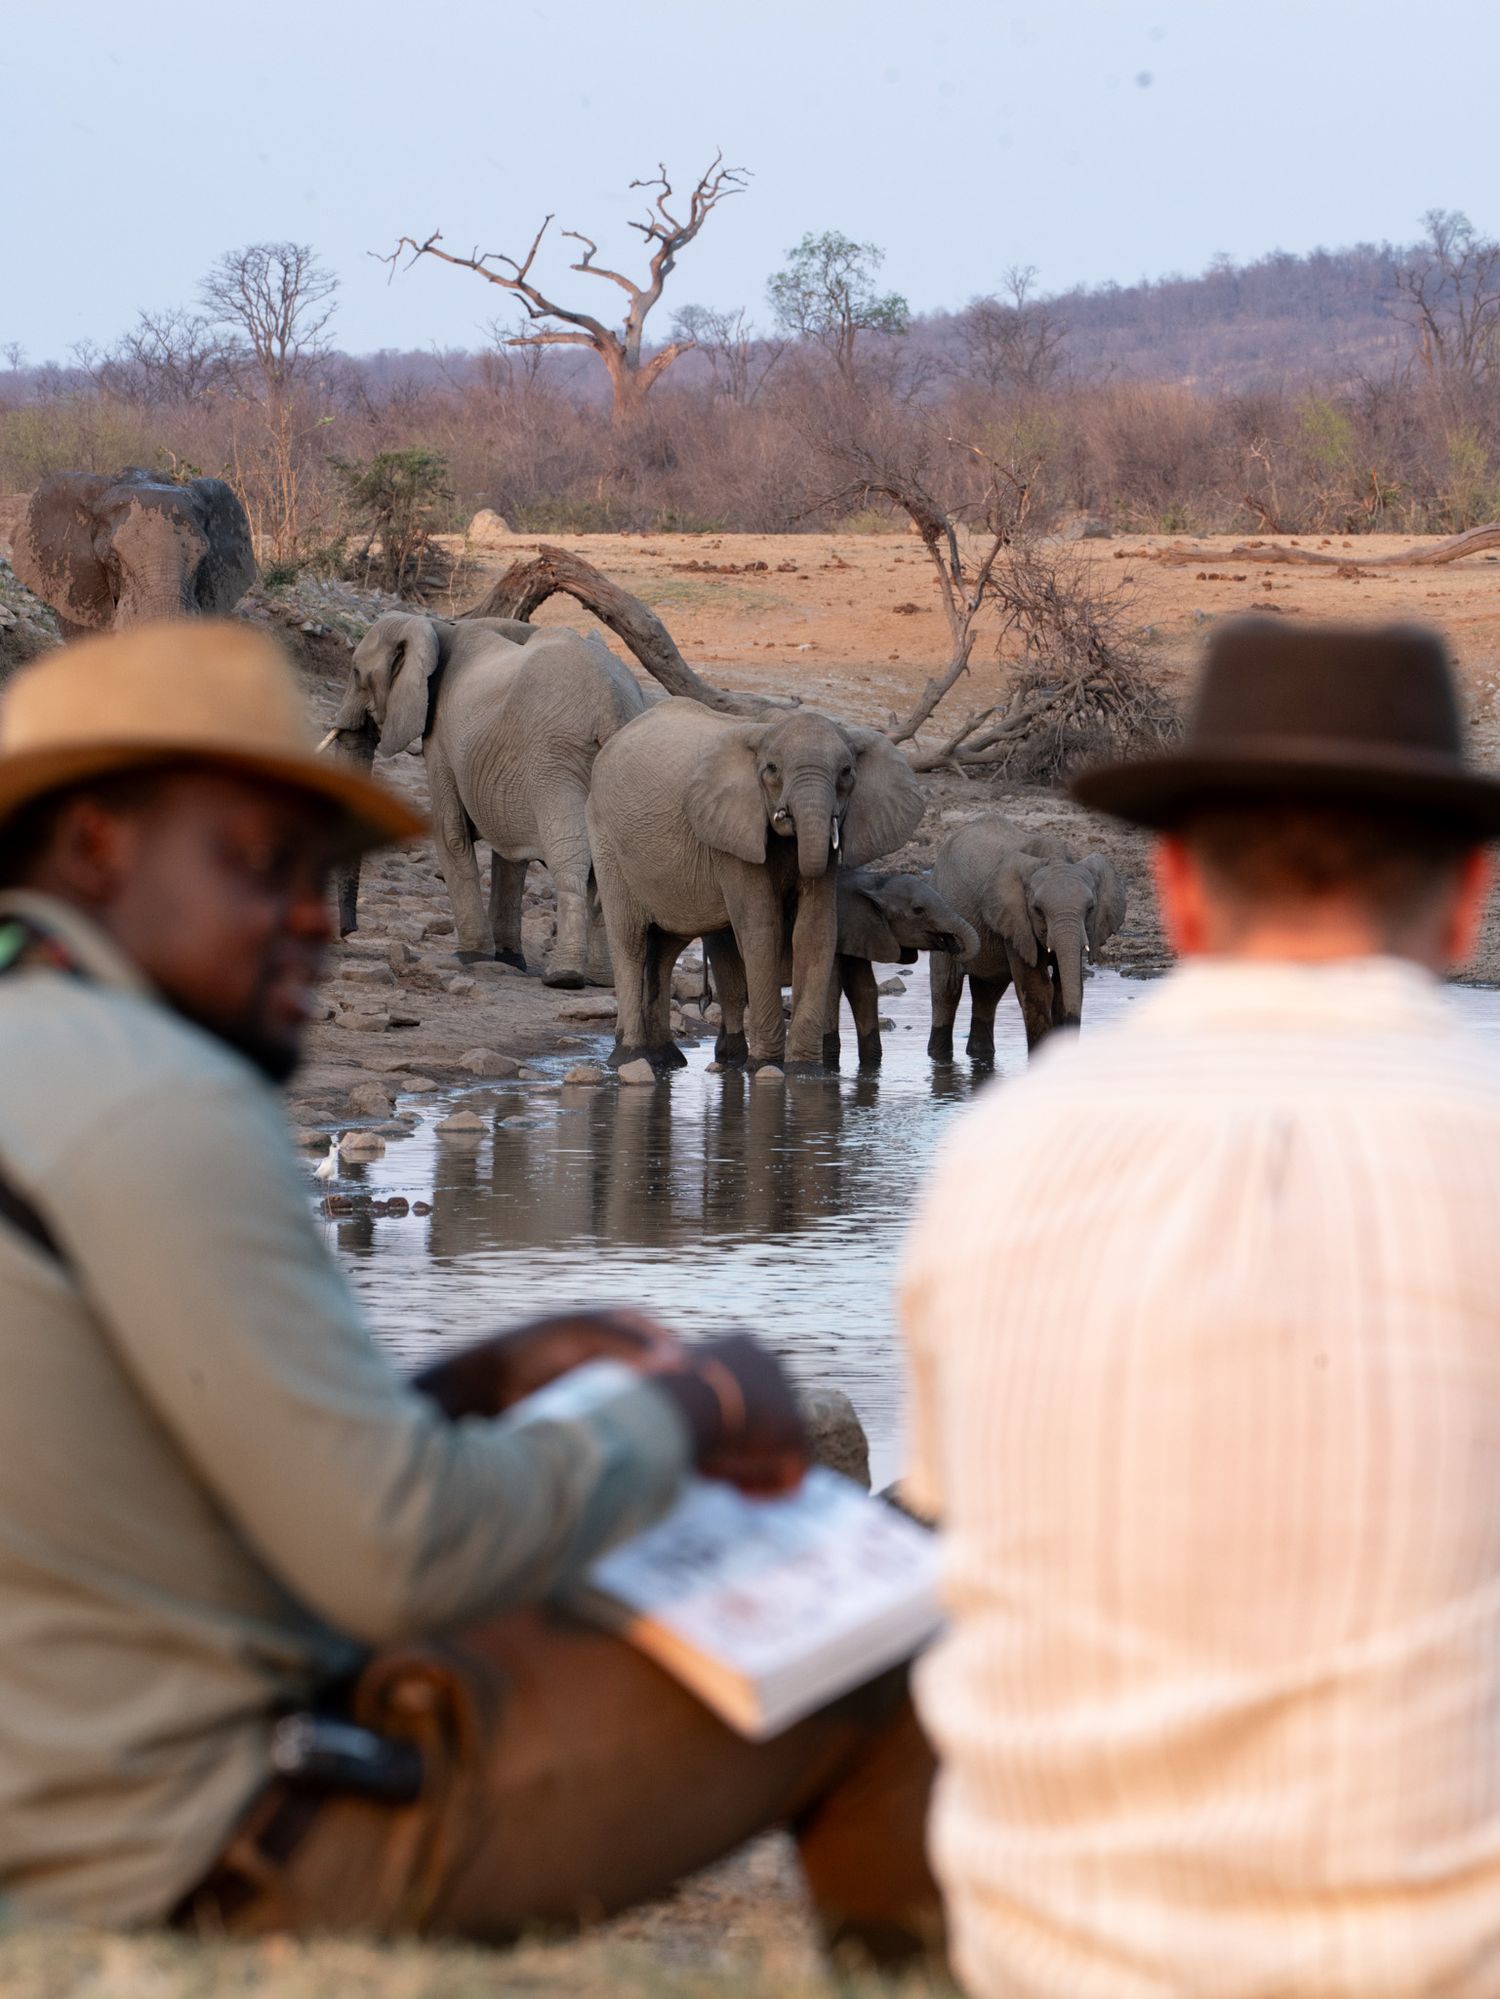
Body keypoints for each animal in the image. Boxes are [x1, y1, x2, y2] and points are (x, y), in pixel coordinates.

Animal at [327, 612, 648, 986]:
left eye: (355, 672)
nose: (347, 933)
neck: (435, 627)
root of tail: (613, 705)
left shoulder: (441, 737)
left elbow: (450, 833)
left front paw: (471, 956)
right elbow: (508, 854)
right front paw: (509, 960)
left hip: (555, 761)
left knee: (569, 855)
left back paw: (564, 976)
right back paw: (603, 979)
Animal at [586, 698, 925, 1072]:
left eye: (847, 772)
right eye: (772, 769)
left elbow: (816, 930)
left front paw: (804, 1071)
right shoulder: (732, 835)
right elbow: (761, 927)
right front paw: (764, 1065)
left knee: (665, 946)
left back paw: (665, 1060)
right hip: (606, 839)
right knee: (629, 940)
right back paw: (629, 1057)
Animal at [704, 868, 978, 1071]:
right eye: (918, 910)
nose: (952, 943)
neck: (875, 882)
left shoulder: (861, 934)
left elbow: (864, 990)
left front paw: (871, 1065)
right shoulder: (840, 933)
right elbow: (832, 990)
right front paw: (829, 1064)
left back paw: (722, 1059)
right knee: (734, 993)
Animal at [928, 815, 1126, 1062]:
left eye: (1090, 909)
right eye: (1038, 910)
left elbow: (1064, 987)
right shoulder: (1016, 922)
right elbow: (1038, 989)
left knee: (987, 992)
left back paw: (980, 1054)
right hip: (941, 911)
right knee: (946, 990)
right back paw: (938, 1056)